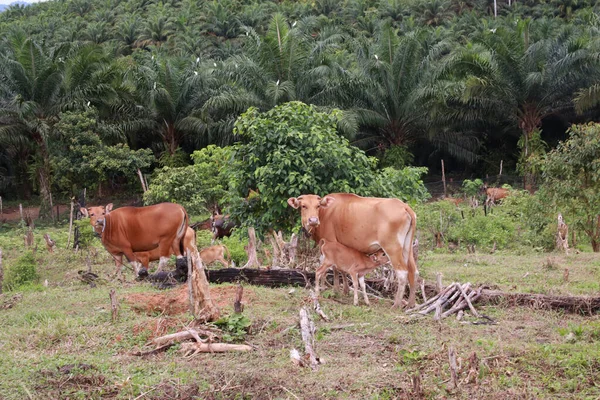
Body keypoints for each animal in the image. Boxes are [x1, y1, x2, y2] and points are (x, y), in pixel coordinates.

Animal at [288, 192, 420, 308]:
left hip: (392, 247)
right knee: (413, 271)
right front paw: (345, 290)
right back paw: (411, 304)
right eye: (303, 206)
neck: (325, 213)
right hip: (407, 247)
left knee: (402, 272)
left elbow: (335, 268)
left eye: (318, 205)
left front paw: (336, 289)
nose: (313, 220)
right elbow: (342, 268)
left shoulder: (331, 242)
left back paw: (396, 304)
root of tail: (404, 206)